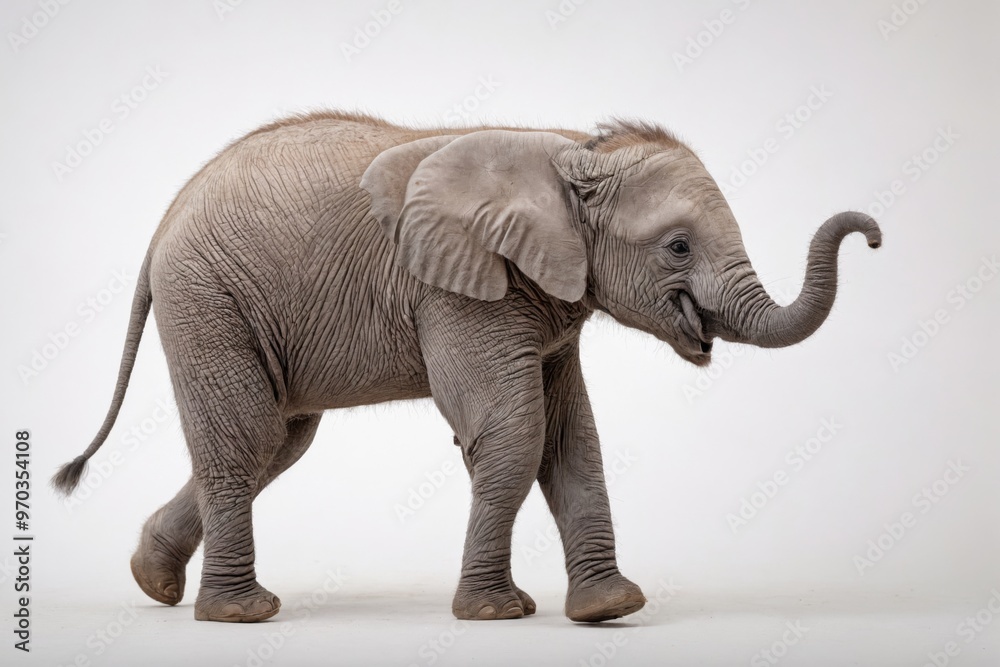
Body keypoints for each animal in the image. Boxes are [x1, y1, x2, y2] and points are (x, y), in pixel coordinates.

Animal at [53, 111, 881, 624]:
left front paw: (610, 609)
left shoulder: (549, 301)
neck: (569, 151)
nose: (871, 235)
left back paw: (153, 581)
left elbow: (571, 441)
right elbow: (511, 432)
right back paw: (241, 614)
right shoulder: (457, 287)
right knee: (249, 437)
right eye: (678, 246)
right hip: (208, 296)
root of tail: (162, 224)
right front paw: (495, 612)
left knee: (277, 441)